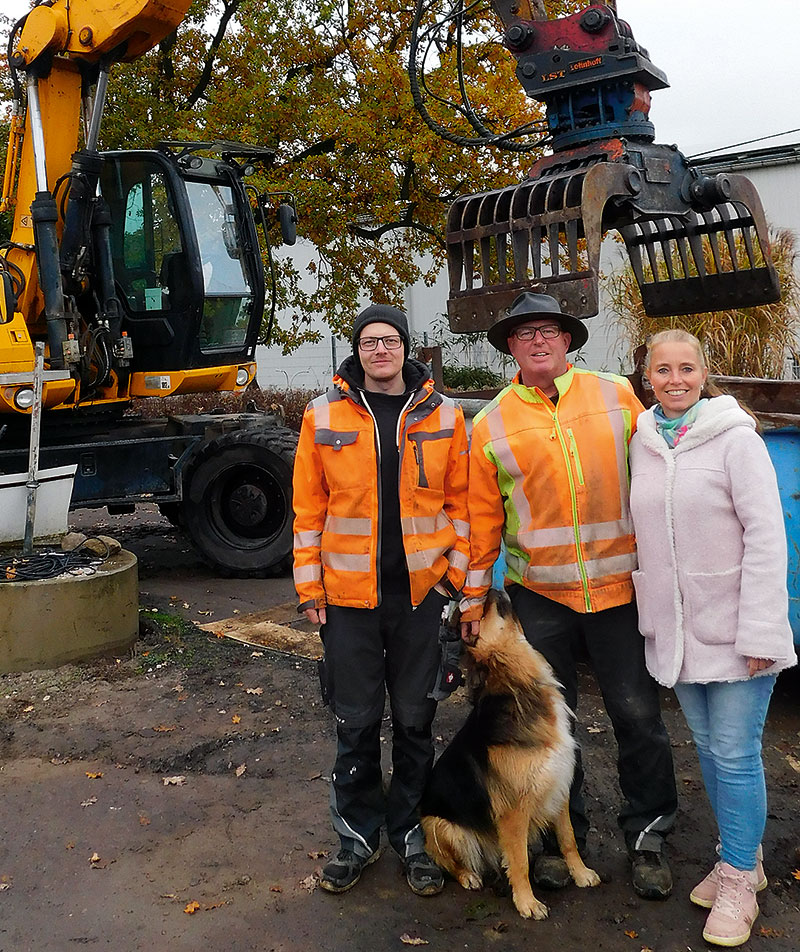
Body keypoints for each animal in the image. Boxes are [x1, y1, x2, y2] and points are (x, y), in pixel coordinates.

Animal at [422, 592, 596, 920]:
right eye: (477, 611)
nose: (490, 588)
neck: (516, 678)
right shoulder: (514, 810)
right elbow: (520, 862)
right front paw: (527, 902)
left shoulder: (558, 785)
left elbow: (568, 839)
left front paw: (580, 873)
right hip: (441, 826)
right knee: (448, 862)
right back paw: (469, 876)